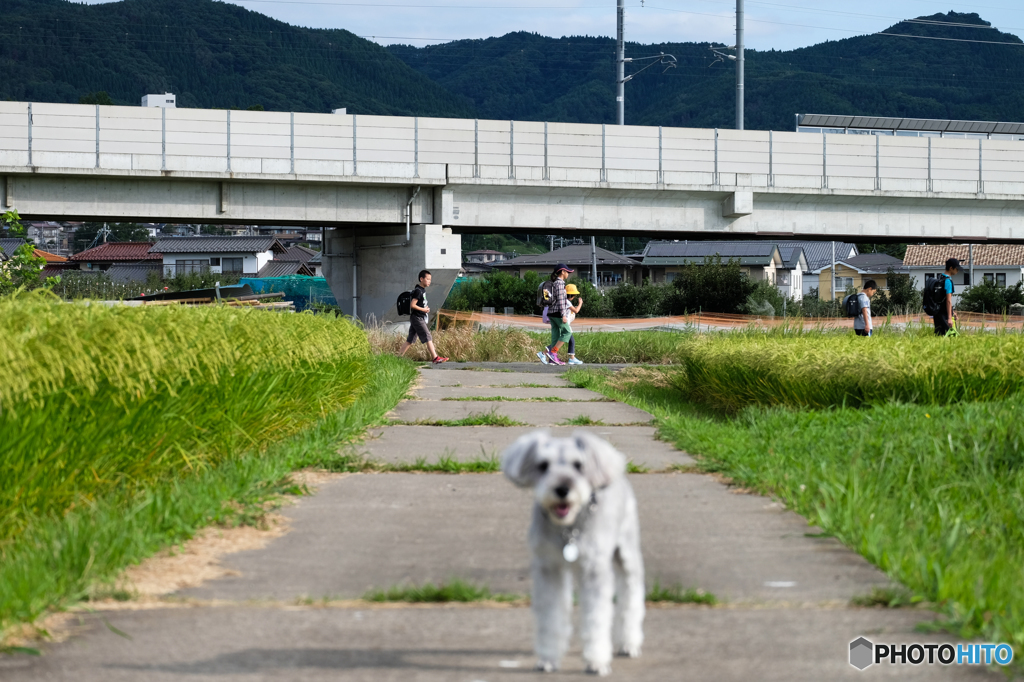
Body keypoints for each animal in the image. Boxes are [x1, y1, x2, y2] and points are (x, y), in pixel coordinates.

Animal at [501, 428, 643, 671]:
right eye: (543, 465)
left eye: (578, 465)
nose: (562, 489)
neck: (568, 526)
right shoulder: (549, 569)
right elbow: (550, 615)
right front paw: (548, 657)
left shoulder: (594, 572)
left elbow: (596, 617)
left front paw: (596, 660)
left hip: (627, 553)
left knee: (631, 595)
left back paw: (629, 643)